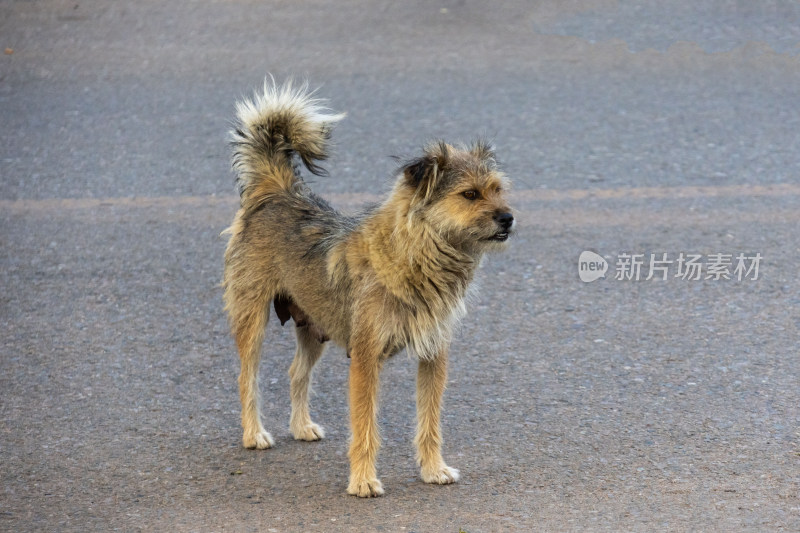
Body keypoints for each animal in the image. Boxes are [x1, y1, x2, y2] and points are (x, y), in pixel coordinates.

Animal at [222, 81, 516, 496]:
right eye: (470, 194)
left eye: (497, 189)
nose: (508, 218)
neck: (414, 253)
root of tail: (277, 191)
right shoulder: (365, 359)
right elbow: (365, 426)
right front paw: (363, 480)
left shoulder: (434, 356)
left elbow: (430, 422)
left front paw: (433, 469)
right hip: (251, 319)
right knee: (247, 377)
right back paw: (254, 434)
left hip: (314, 325)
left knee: (297, 371)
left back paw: (301, 426)